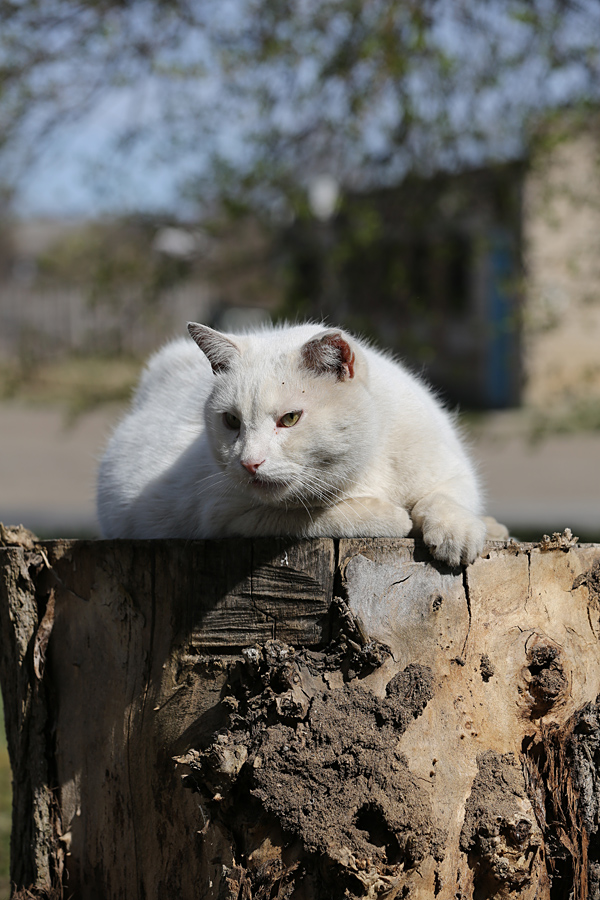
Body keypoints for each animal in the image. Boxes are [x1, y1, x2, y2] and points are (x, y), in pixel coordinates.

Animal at [97, 322, 488, 564]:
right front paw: (389, 516)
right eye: (231, 422)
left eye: (290, 419)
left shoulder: (451, 470)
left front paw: (457, 533)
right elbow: (319, 515)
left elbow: (445, 497)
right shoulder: (227, 517)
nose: (249, 462)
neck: (367, 466)